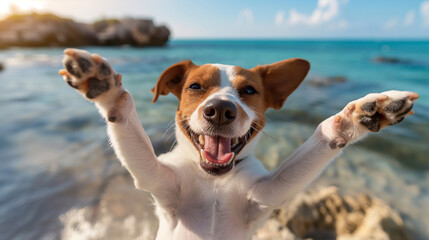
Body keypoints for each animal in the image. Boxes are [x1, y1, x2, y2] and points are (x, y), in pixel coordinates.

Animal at [59, 47, 418, 239]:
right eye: (195, 86)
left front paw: (361, 114)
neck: (214, 181)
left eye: (249, 91)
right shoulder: (157, 181)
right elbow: (125, 118)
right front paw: (105, 87)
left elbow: (323, 136)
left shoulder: (268, 194)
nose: (220, 110)